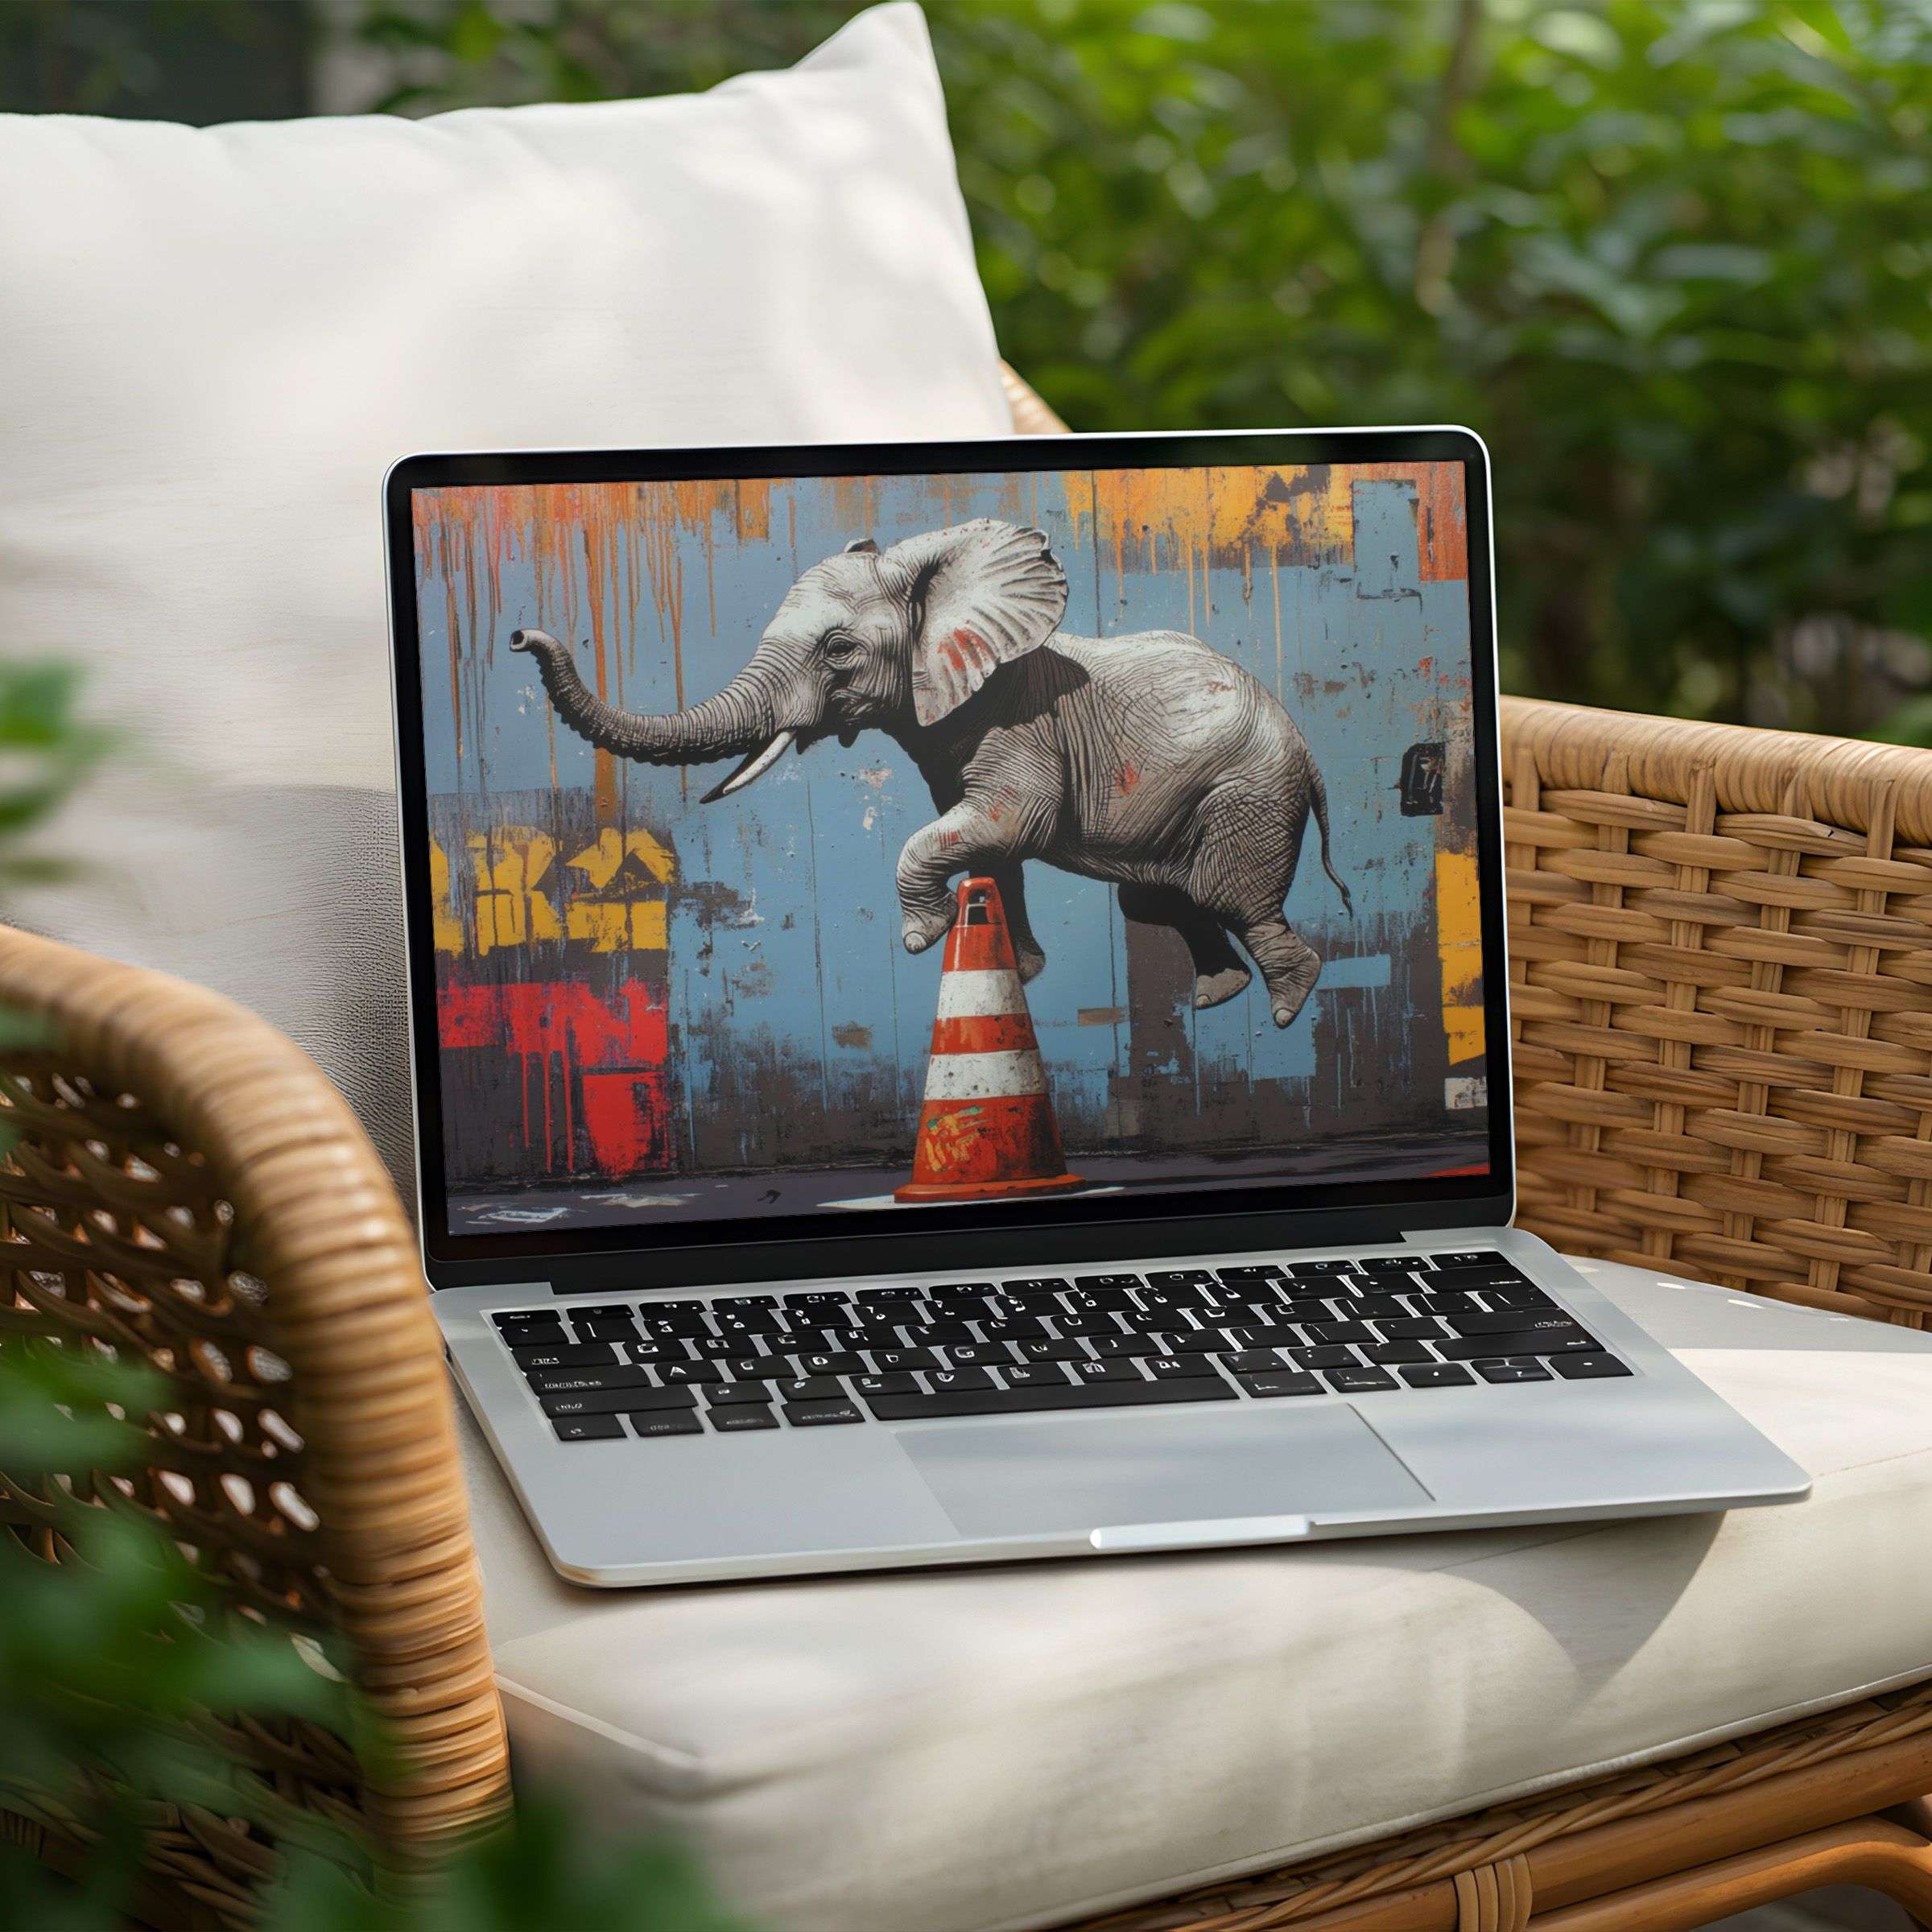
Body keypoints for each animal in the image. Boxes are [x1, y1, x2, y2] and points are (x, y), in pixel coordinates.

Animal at [510, 518, 1352, 1027]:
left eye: (839, 651)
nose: (519, 635)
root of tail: (1311, 757)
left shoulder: (1017, 720)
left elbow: (1009, 822)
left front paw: (926, 938)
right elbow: (991, 846)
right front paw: (1016, 964)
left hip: (1250, 792)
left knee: (1222, 895)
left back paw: (1286, 1005)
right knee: (1157, 900)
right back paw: (1219, 997)